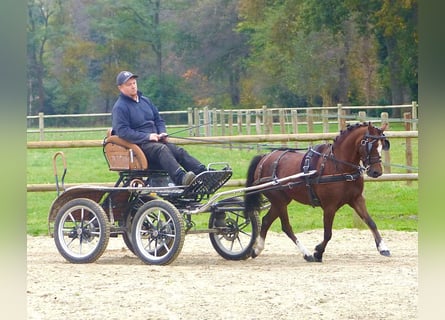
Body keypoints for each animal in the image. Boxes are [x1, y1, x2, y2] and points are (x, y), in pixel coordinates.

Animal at [245, 122, 390, 262]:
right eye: (369, 144)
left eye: (382, 144)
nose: (376, 172)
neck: (339, 167)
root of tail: (264, 158)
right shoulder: (329, 206)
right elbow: (328, 233)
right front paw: (318, 252)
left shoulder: (356, 199)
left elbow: (371, 222)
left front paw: (383, 248)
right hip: (279, 200)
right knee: (286, 226)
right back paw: (306, 253)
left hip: (281, 201)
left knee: (266, 221)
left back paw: (257, 249)